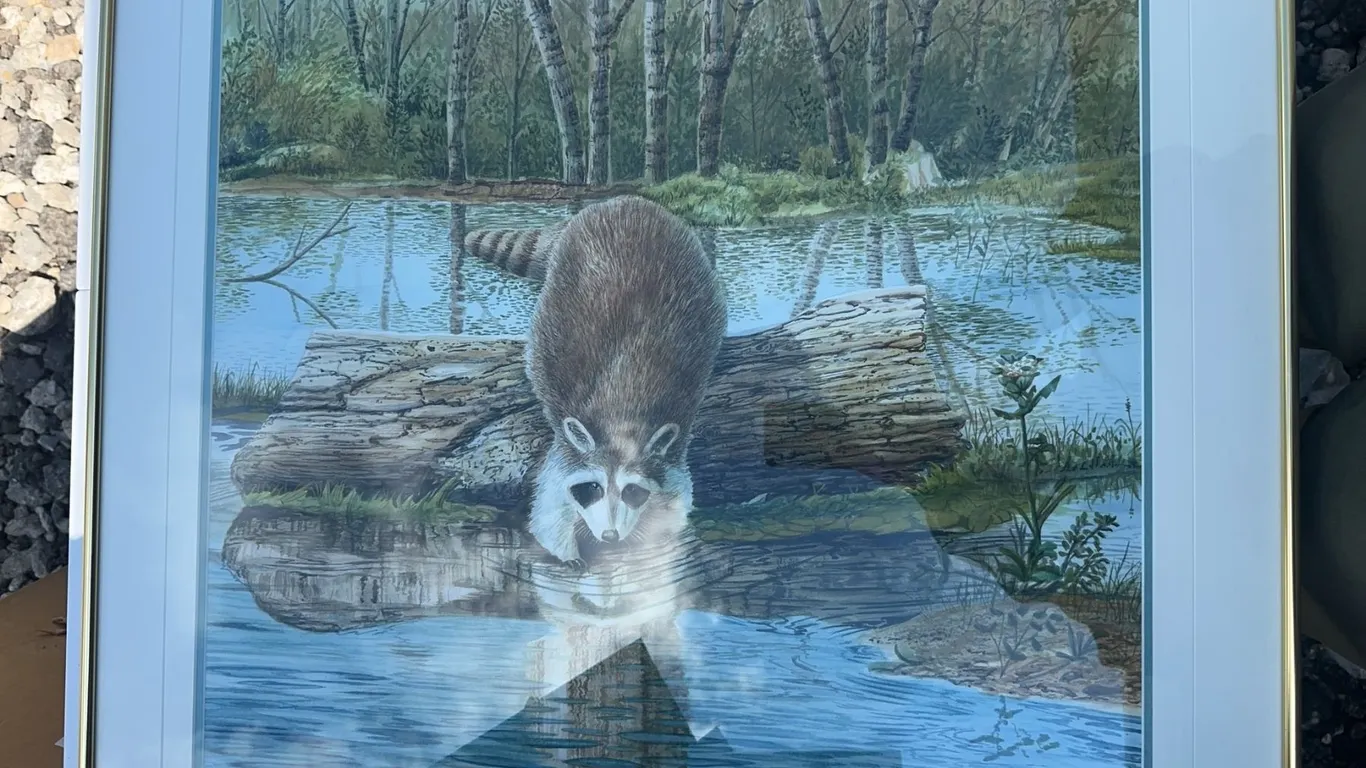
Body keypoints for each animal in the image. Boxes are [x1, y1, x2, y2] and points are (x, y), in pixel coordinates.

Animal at [525, 195, 727, 567]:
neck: (620, 416)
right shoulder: (568, 446)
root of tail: (629, 201)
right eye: (592, 488)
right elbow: (549, 507)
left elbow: (672, 505)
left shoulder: (669, 456)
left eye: (633, 491)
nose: (609, 536)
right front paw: (567, 553)